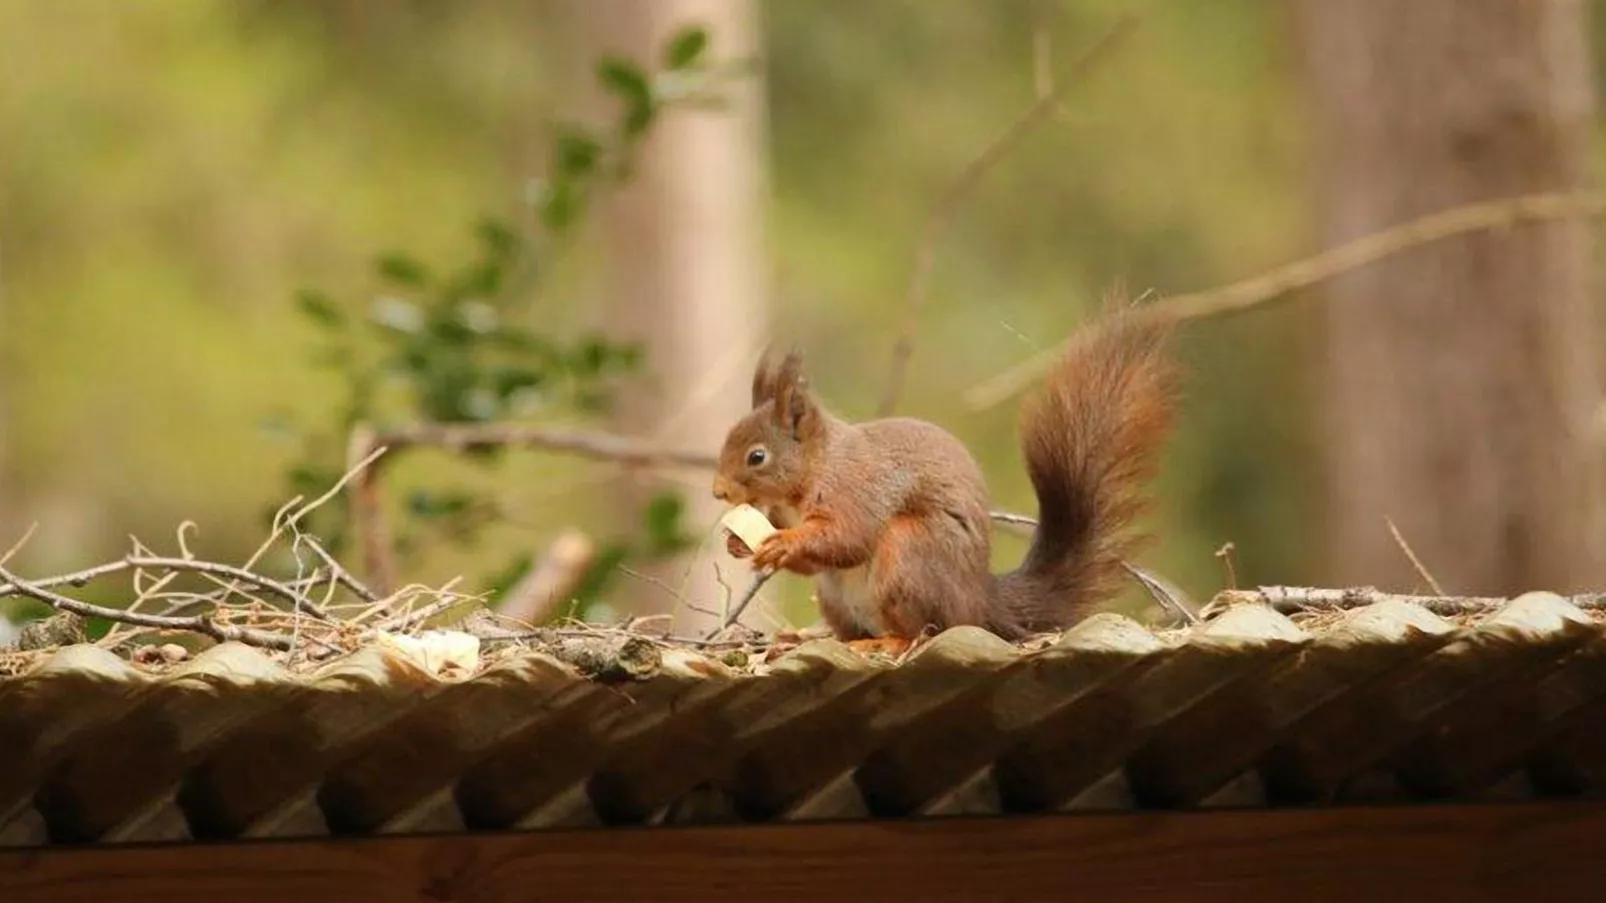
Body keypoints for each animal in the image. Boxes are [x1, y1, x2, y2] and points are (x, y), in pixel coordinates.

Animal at [716, 295, 1182, 652]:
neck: (816, 469)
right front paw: (737, 544)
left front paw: (782, 543)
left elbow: (847, 536)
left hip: (909, 554)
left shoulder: (856, 489)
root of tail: (977, 602)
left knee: (922, 629)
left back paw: (887, 641)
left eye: (757, 457)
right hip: (835, 596)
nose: (719, 491)